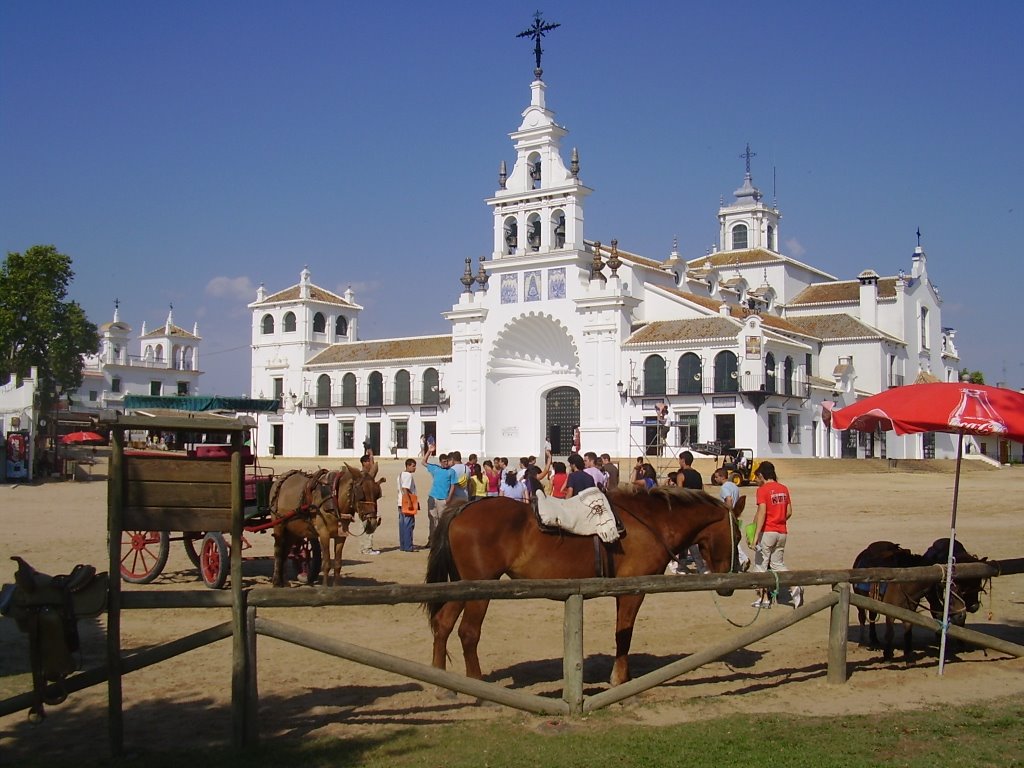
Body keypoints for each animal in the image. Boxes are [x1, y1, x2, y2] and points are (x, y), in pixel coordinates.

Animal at [423, 489, 737, 696]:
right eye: (736, 534)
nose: (736, 571)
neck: (651, 522)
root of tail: (464, 508)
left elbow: (622, 633)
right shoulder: (633, 591)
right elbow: (624, 634)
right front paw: (620, 680)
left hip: (463, 586)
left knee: (443, 624)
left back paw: (442, 683)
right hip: (480, 588)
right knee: (468, 633)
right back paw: (476, 686)